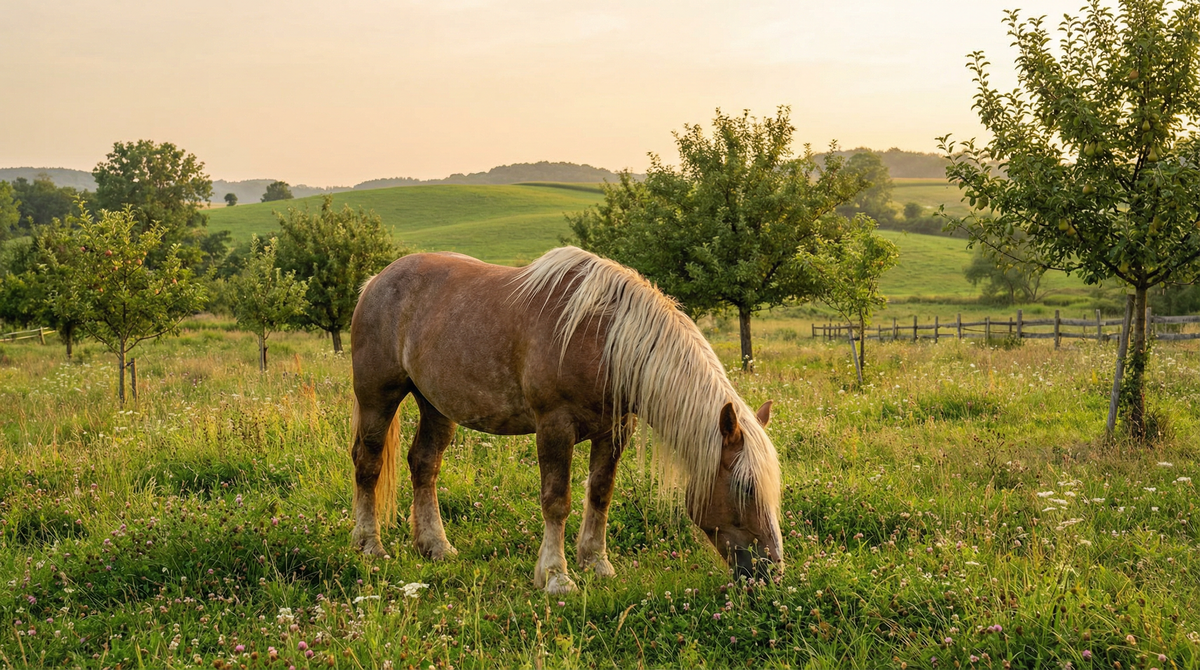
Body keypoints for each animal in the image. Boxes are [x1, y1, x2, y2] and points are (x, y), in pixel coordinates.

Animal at [348, 246, 784, 594]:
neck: (603, 338)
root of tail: (375, 281)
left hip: (436, 406)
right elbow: (557, 501)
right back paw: (370, 546)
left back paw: (435, 547)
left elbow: (600, 493)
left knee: (424, 465)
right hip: (378, 397)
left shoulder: (614, 430)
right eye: (745, 488)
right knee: (368, 463)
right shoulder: (554, 427)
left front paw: (596, 563)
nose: (771, 571)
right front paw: (556, 576)